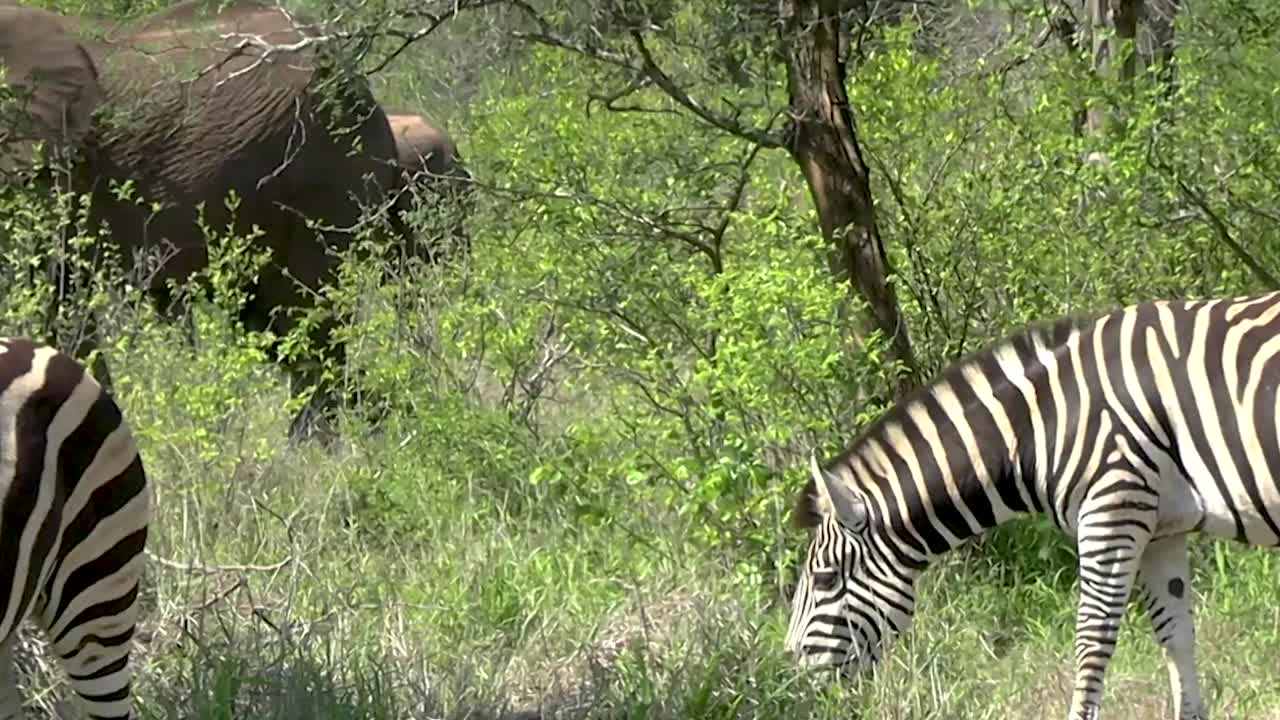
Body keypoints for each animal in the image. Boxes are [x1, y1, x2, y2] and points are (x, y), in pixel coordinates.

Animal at [784, 291, 1280, 720]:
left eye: (825, 579)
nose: (791, 682)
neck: (1041, 424)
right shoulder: (1162, 529)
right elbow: (1176, 635)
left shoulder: (1113, 507)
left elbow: (1091, 640)